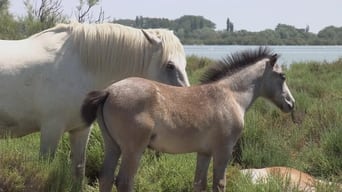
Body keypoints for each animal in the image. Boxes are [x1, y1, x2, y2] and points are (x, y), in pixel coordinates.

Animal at [0, 21, 190, 185]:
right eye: (170, 65)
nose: (186, 99)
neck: (80, 66)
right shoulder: (51, 129)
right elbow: (43, 167)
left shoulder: (81, 129)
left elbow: (79, 170)